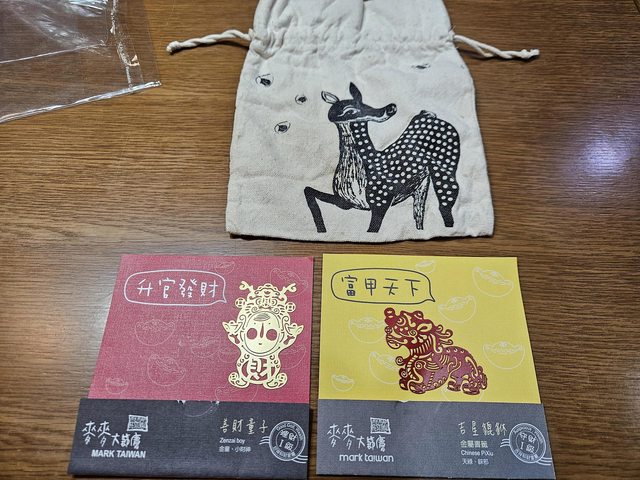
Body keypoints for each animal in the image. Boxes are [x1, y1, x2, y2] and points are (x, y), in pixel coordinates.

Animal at [304, 83, 460, 233]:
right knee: (419, 214)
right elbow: (308, 192)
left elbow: (372, 230)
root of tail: (430, 116)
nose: (390, 108)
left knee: (446, 203)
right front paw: (321, 229)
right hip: (421, 186)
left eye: (365, 103)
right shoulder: (345, 202)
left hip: (444, 170)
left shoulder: (380, 203)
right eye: (350, 111)